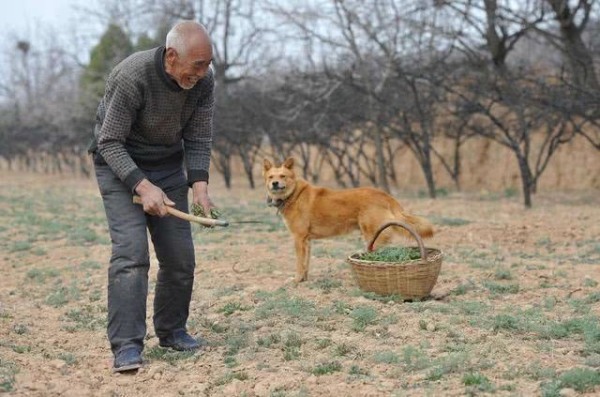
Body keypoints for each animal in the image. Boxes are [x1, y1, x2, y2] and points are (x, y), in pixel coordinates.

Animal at [264, 156, 434, 284]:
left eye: (283, 176)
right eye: (271, 177)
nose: (274, 183)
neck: (293, 195)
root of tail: (383, 194)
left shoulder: (298, 239)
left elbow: (299, 263)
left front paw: (297, 280)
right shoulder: (307, 241)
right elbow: (306, 263)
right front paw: (304, 279)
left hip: (373, 236)